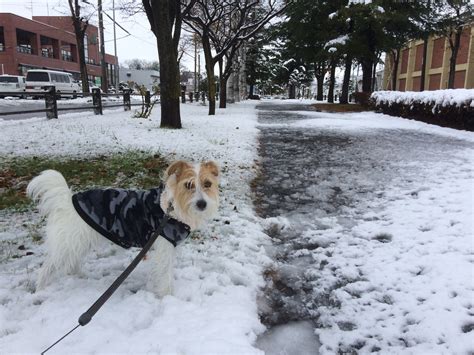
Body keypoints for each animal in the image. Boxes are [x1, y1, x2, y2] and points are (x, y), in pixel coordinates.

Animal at [29, 161, 220, 298]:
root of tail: (67, 201)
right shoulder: (164, 247)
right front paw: (167, 297)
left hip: (78, 242)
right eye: (188, 185)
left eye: (207, 184)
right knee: (47, 267)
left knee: (72, 261)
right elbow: (164, 274)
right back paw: (40, 290)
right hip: (68, 243)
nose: (202, 204)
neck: (170, 208)